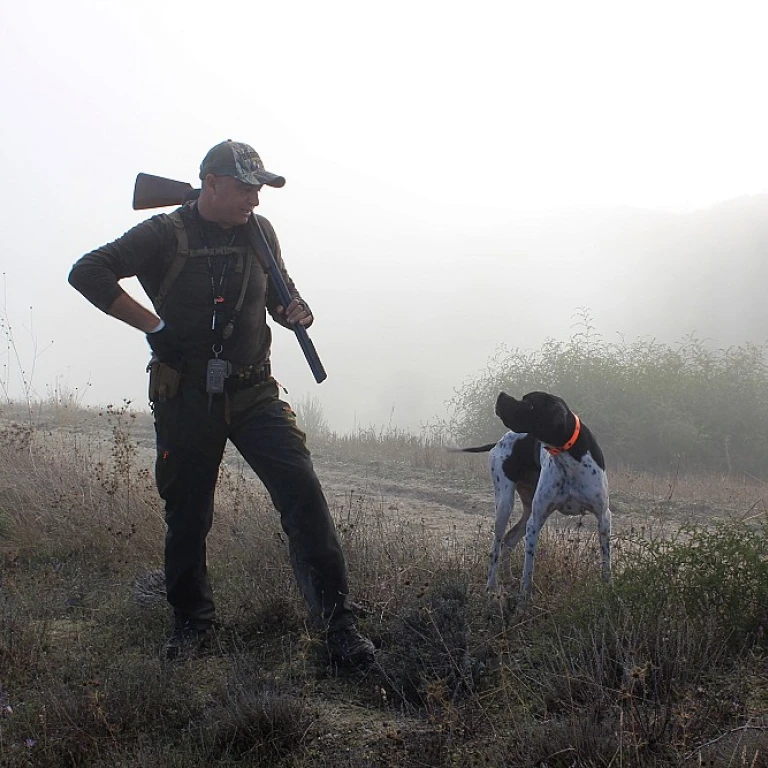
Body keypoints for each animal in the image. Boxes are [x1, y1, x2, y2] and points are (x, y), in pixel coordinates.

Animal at [456, 392, 612, 596]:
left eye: (530, 404)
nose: (501, 395)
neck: (568, 455)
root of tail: (499, 441)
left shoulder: (604, 518)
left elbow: (606, 564)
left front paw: (608, 590)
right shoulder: (535, 522)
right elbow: (528, 571)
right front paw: (524, 599)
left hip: (527, 510)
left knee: (509, 540)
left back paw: (508, 579)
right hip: (505, 505)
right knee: (496, 548)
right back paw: (491, 586)